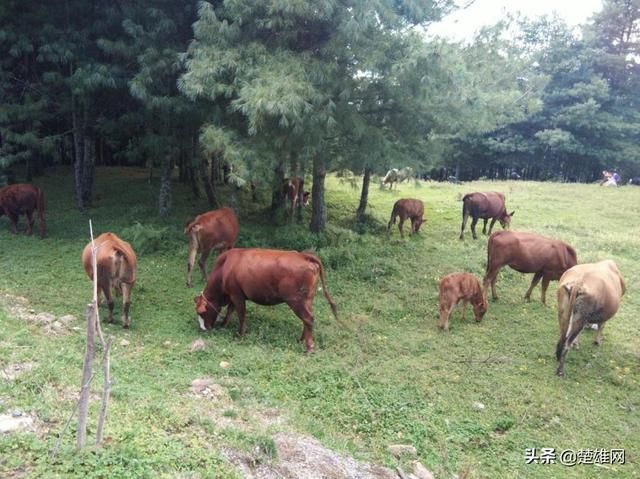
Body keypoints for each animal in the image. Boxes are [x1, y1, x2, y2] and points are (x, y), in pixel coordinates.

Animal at [194, 249, 338, 354]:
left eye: (201, 312)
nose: (203, 328)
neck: (225, 267)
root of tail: (304, 256)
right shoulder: (234, 295)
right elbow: (230, 310)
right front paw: (223, 325)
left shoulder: (236, 295)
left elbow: (241, 314)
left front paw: (241, 334)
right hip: (307, 300)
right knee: (307, 319)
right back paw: (301, 339)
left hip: (296, 301)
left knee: (308, 318)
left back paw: (309, 347)